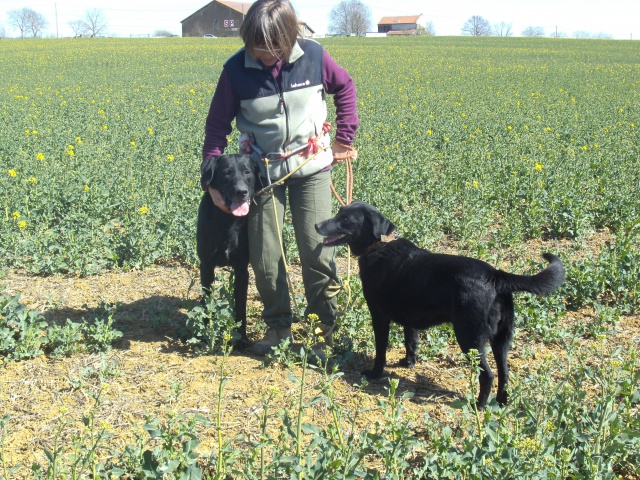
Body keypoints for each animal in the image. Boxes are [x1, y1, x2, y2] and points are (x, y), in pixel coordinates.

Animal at [199, 154, 262, 344]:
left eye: (247, 172)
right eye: (227, 173)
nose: (241, 192)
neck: (228, 220)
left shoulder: (242, 270)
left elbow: (240, 307)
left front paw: (241, 338)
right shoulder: (206, 266)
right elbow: (208, 304)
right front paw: (206, 335)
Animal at [316, 201, 564, 406]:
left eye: (345, 220)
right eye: (339, 213)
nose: (317, 224)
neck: (379, 247)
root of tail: (495, 275)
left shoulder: (379, 316)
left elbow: (380, 350)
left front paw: (376, 373)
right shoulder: (410, 319)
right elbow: (411, 342)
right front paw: (409, 363)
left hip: (470, 337)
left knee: (488, 375)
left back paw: (479, 405)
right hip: (502, 339)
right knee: (504, 373)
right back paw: (502, 402)